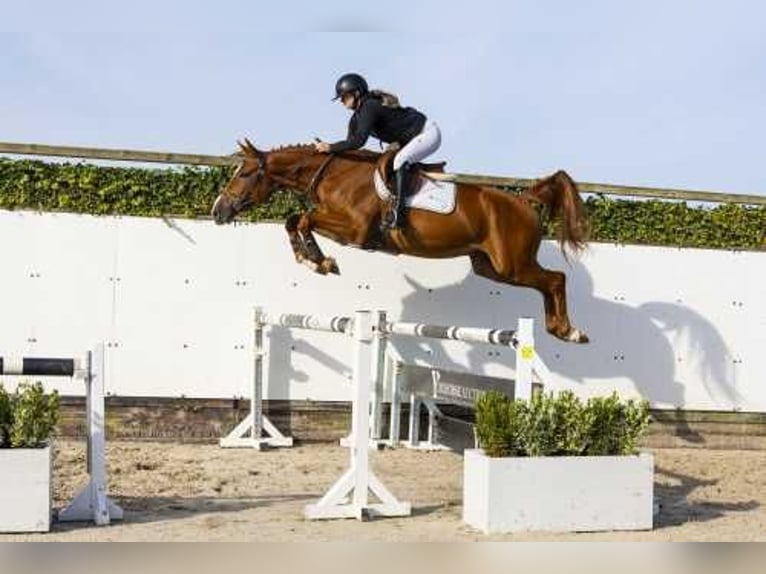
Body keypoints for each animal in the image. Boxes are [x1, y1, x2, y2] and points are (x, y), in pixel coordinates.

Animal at [213, 138, 592, 346]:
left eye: (245, 174)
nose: (218, 211)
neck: (335, 174)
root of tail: (525, 202)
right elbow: (295, 220)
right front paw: (314, 260)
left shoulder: (354, 230)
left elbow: (304, 219)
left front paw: (320, 261)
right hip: (491, 267)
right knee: (546, 283)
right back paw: (558, 329)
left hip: (511, 264)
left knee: (555, 279)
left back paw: (569, 331)